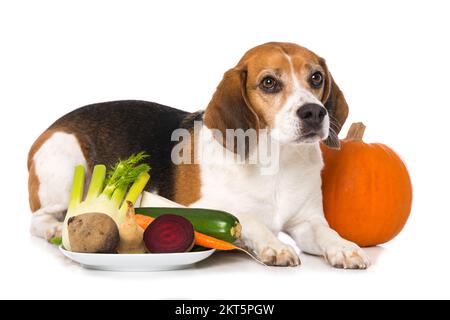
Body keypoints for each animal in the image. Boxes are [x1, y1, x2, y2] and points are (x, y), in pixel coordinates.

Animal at [29, 42, 370, 268]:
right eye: (269, 82)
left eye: (316, 78)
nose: (314, 112)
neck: (277, 161)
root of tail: (50, 127)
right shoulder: (199, 208)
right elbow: (247, 218)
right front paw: (274, 245)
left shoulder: (307, 221)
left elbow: (327, 233)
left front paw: (344, 247)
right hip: (65, 159)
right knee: (38, 219)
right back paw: (54, 228)